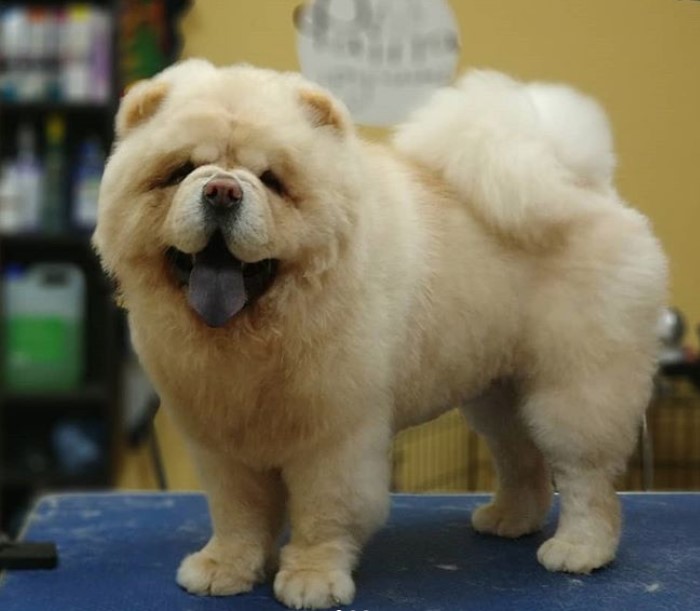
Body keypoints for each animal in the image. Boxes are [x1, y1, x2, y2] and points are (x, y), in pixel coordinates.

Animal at [93, 58, 668, 611]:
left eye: (272, 179)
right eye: (181, 171)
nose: (221, 190)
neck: (254, 335)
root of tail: (588, 187)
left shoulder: (334, 437)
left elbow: (323, 513)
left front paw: (312, 579)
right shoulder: (222, 442)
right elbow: (238, 514)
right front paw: (224, 569)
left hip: (575, 387)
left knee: (585, 477)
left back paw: (580, 549)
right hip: (498, 391)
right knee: (520, 458)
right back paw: (508, 519)